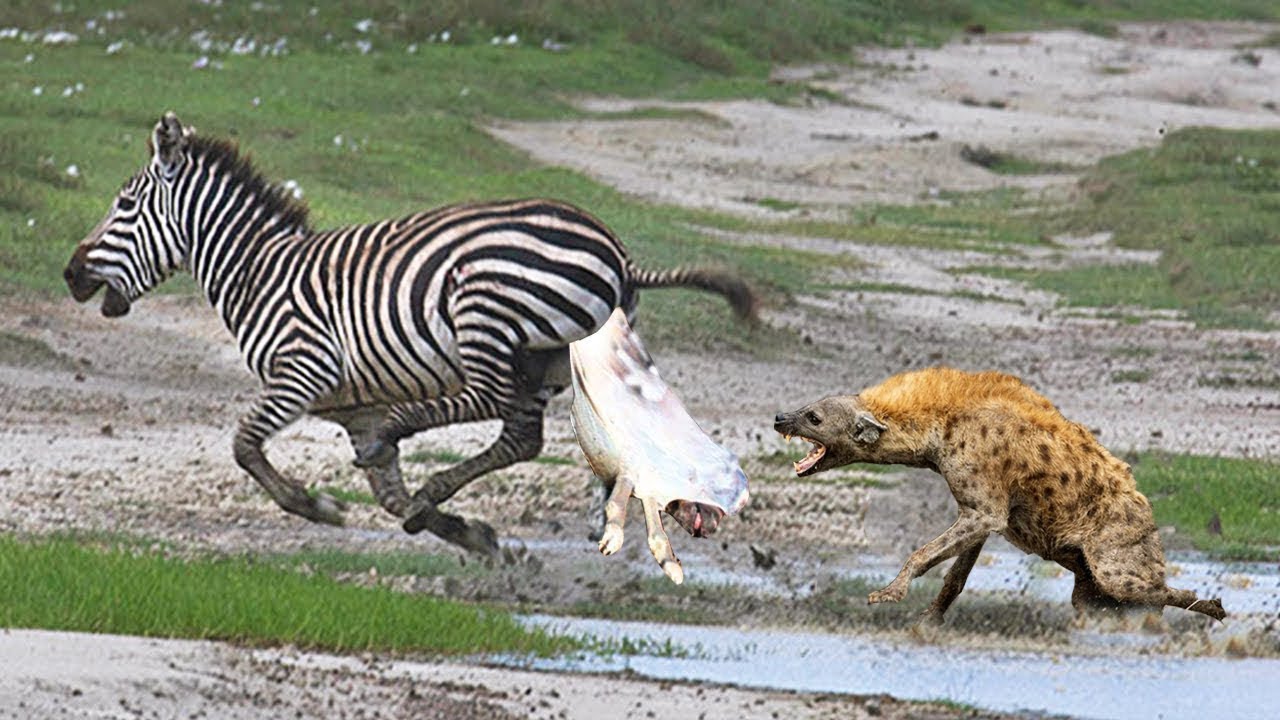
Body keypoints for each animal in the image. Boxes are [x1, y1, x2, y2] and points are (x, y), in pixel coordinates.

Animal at [62, 112, 757, 550]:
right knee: (529, 436)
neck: (258, 272)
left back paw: (413, 441)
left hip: (484, 310)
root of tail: (617, 251)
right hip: (562, 361)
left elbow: (246, 446)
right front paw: (472, 537)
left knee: (494, 410)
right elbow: (390, 497)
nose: (70, 273)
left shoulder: (303, 370)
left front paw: (318, 507)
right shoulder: (352, 407)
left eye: (124, 206)